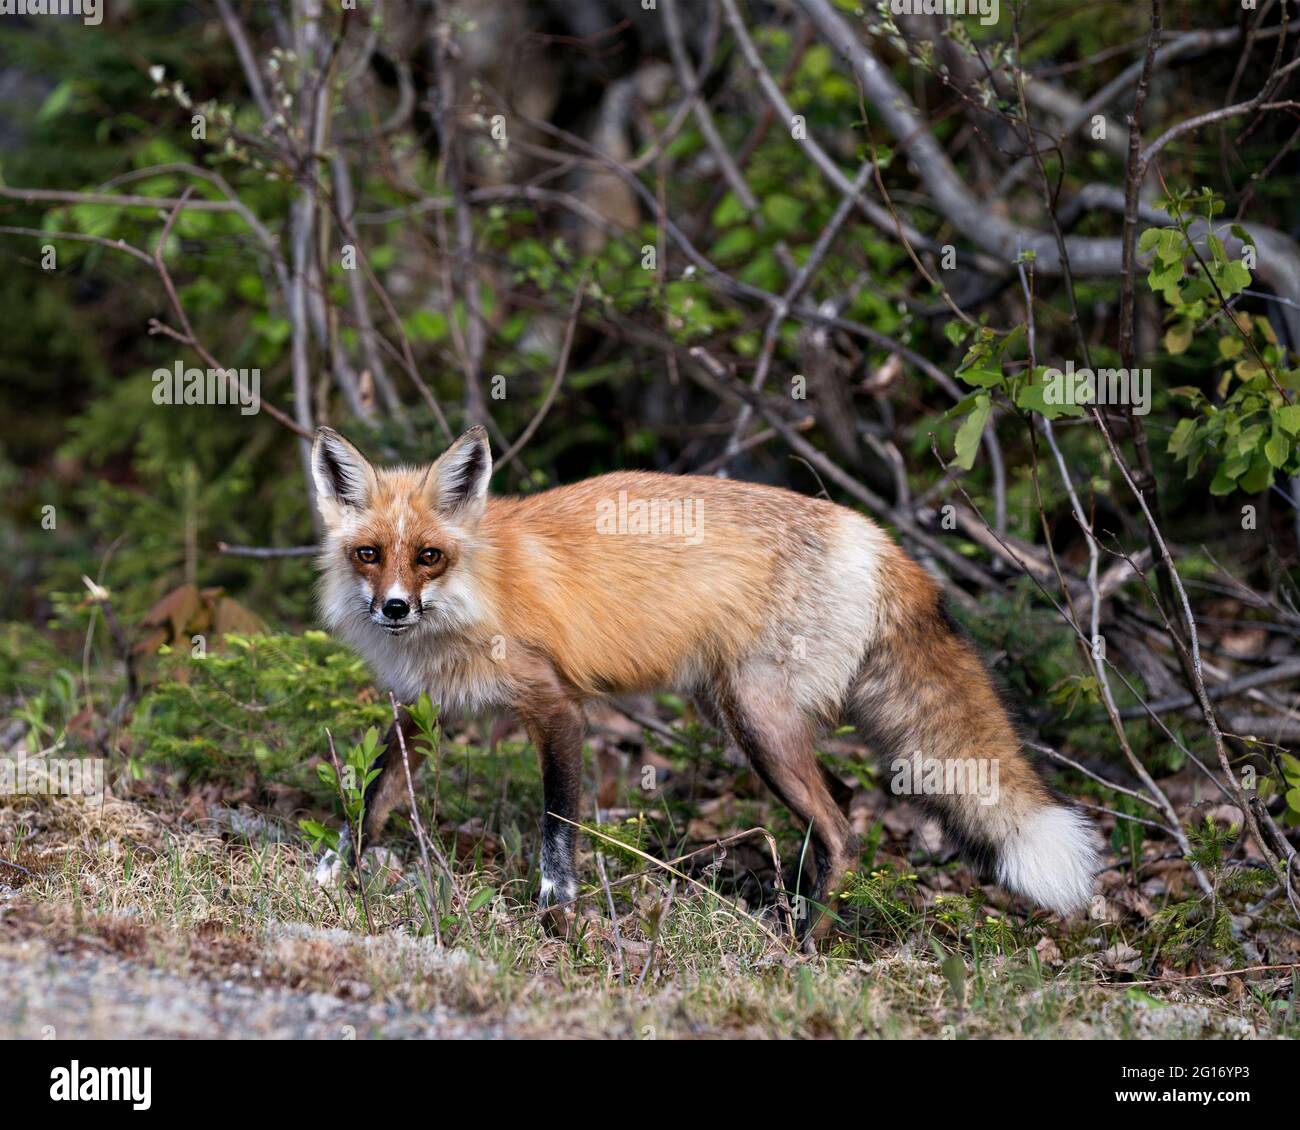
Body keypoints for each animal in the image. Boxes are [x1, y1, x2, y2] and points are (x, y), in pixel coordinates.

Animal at [314, 423, 1097, 936]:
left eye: (429, 556)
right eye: (369, 553)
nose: (393, 608)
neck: (476, 590)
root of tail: (876, 536)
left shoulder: (557, 706)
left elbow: (557, 831)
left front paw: (557, 917)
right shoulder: (426, 706)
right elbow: (374, 793)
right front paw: (336, 873)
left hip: (755, 716)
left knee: (844, 829)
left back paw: (804, 946)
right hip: (745, 714)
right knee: (841, 805)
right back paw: (792, 907)